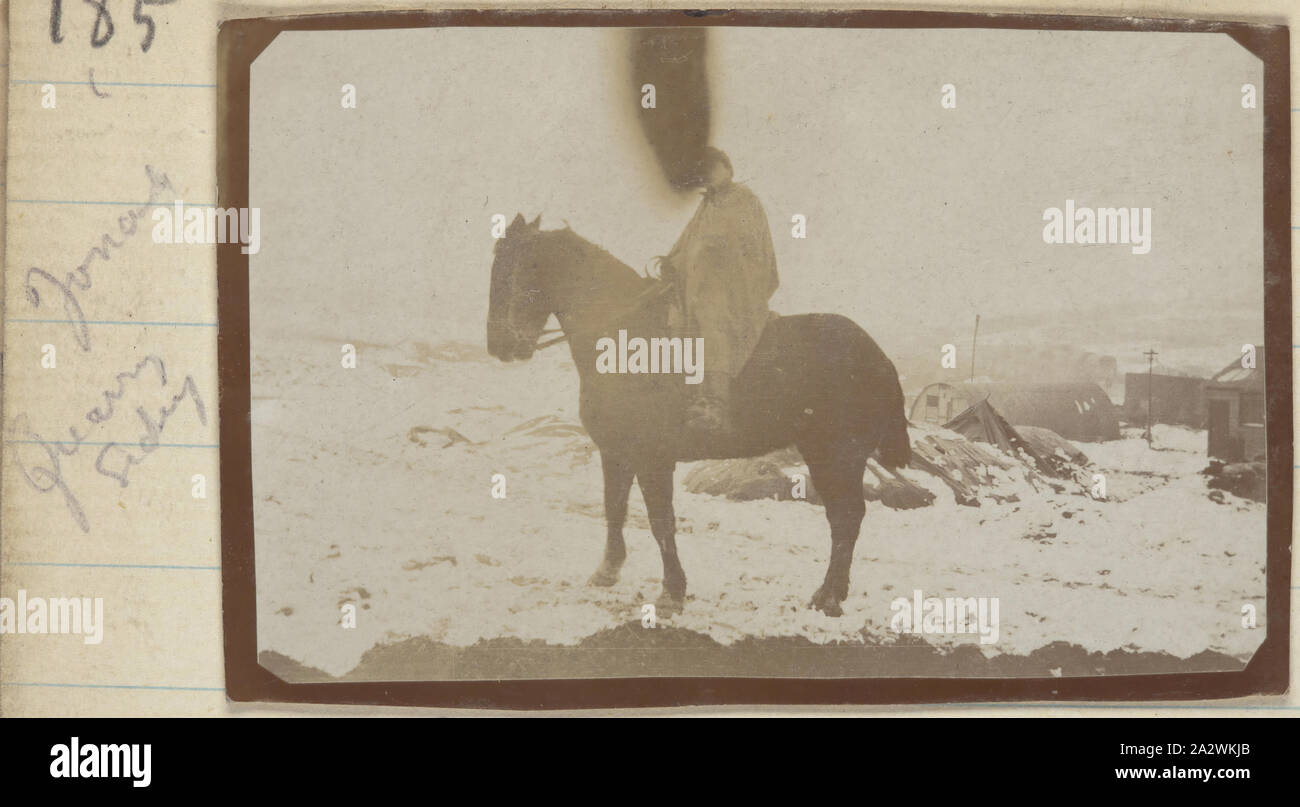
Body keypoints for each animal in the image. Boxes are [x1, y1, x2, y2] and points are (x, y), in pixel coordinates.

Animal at [488, 210, 915, 613]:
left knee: (846, 519)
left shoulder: (653, 459)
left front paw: (672, 592)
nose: (500, 345)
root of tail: (877, 355)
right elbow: (615, 508)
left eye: (516, 269)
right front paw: (608, 571)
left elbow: (661, 521)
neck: (628, 342)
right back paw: (831, 594)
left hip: (836, 456)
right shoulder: (615, 453)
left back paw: (828, 597)